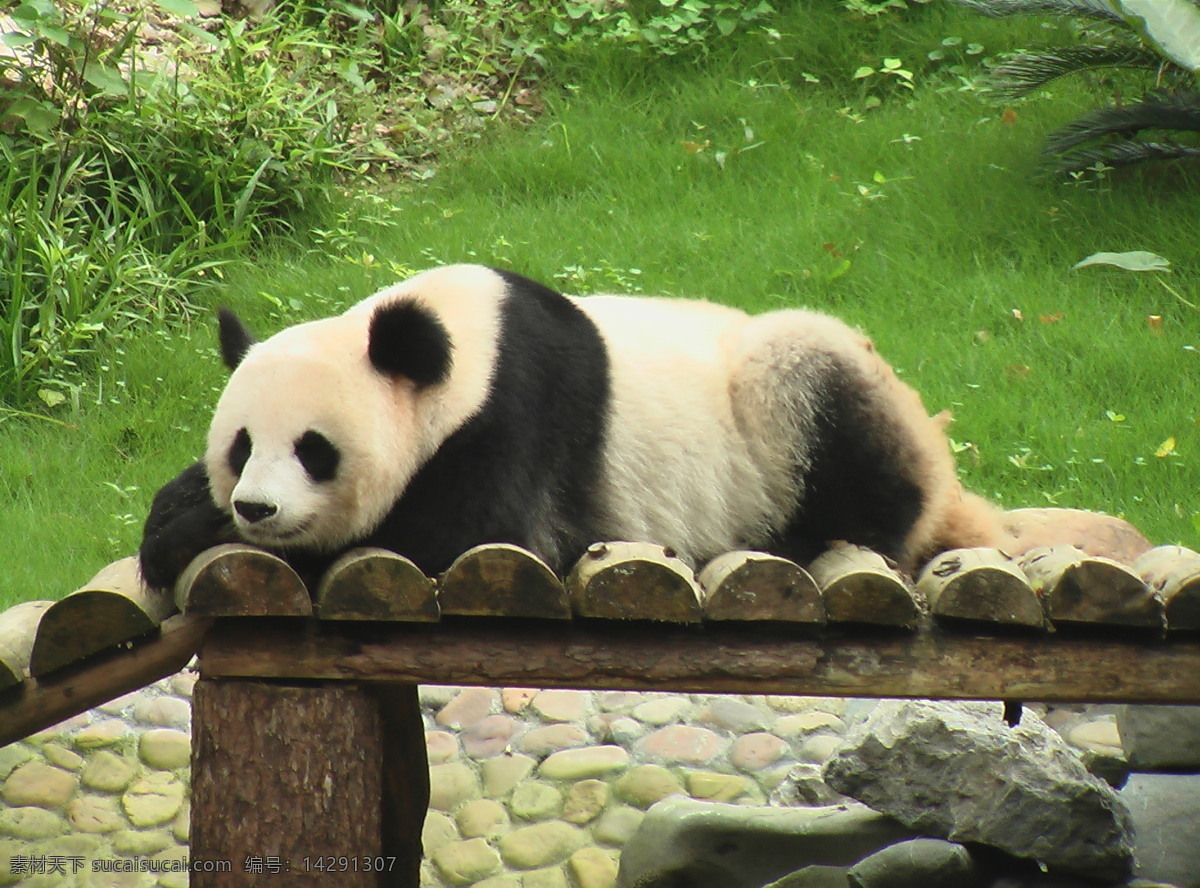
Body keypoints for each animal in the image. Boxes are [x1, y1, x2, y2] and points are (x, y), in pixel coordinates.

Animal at [138, 264, 1003, 592]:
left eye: (314, 451)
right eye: (240, 447)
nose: (256, 509)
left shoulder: (515, 415)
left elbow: (456, 538)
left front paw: (200, 531)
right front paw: (176, 517)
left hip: (785, 400)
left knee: (828, 413)